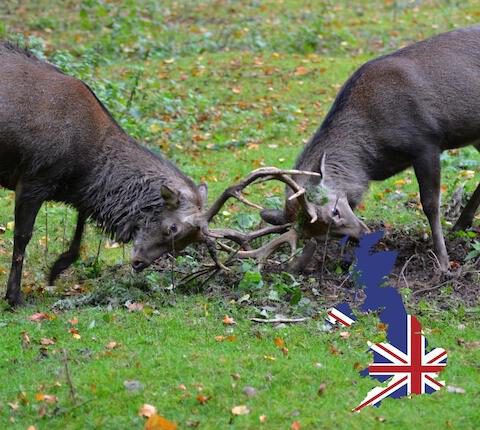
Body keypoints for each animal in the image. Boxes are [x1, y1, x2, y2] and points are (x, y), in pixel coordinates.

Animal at [1, 42, 322, 306]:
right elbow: (22, 238)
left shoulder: (73, 190)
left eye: (183, 246)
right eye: (172, 229)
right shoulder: (33, 179)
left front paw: (56, 269)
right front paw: (15, 297)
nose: (139, 263)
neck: (85, 165)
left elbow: (80, 225)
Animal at [256, 25, 480, 270]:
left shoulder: (426, 142)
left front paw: (443, 261)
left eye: (335, 211)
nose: (364, 234)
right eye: (324, 235)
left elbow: (430, 204)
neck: (374, 159)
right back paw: (460, 225)